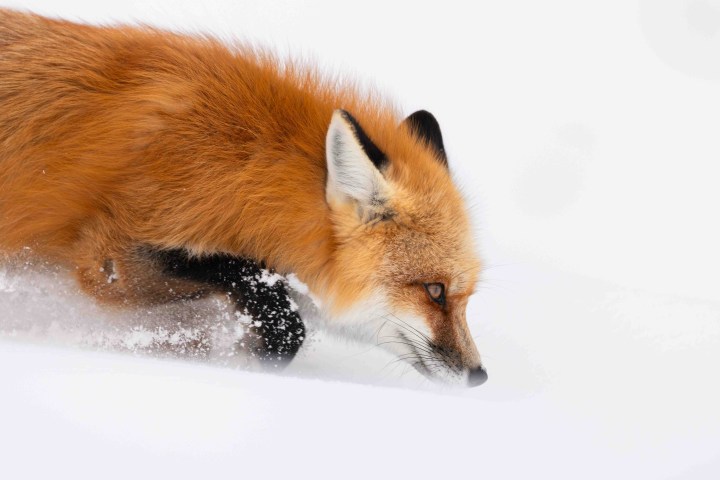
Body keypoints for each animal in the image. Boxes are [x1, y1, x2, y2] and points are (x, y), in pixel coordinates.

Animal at [0, 9, 487, 386]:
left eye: (464, 297)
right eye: (435, 291)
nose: (479, 375)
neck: (248, 165)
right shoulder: (108, 256)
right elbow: (271, 305)